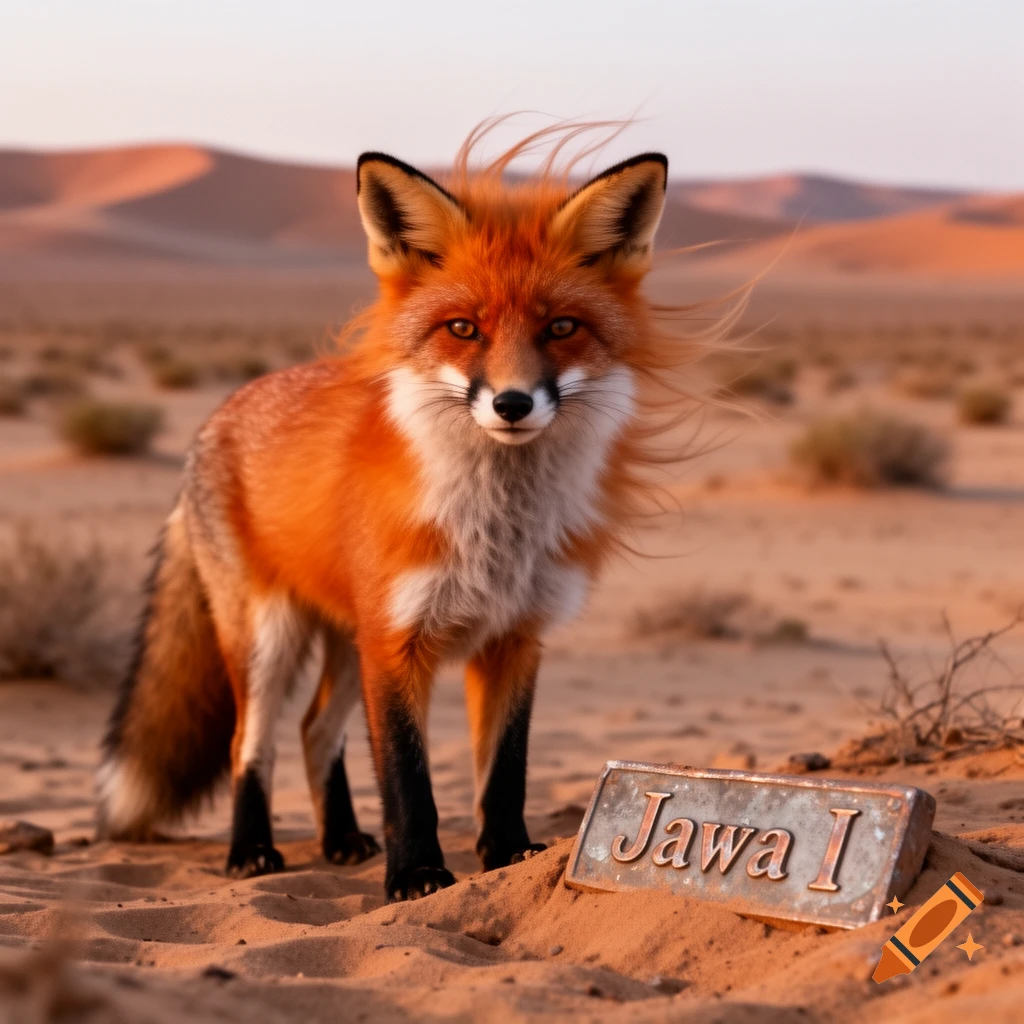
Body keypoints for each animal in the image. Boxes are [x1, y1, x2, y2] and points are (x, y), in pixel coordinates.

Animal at [97, 132, 676, 901]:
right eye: (463, 328)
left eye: (561, 328)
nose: (513, 403)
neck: (497, 534)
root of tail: (219, 413)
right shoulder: (397, 643)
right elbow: (407, 780)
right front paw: (417, 875)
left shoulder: (515, 637)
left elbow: (505, 771)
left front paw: (508, 854)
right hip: (270, 637)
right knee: (251, 741)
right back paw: (251, 850)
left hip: (346, 642)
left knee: (316, 731)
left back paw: (340, 840)